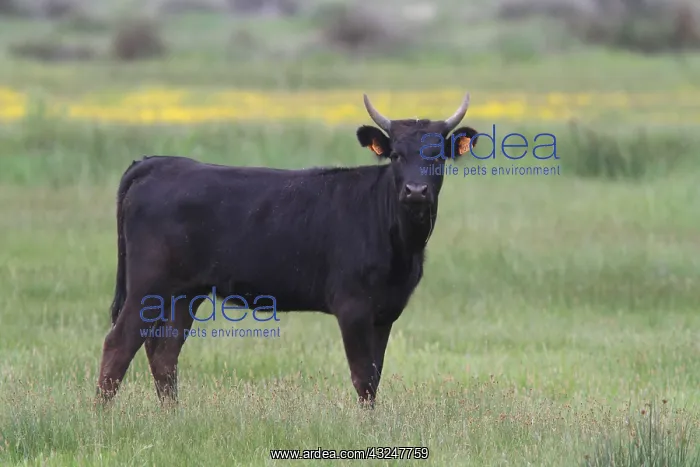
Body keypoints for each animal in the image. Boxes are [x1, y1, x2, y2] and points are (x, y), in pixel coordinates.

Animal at [95, 93, 479, 408]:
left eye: (437, 156)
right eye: (396, 155)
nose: (416, 191)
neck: (400, 244)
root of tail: (159, 162)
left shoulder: (386, 311)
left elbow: (376, 373)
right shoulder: (352, 306)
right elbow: (363, 377)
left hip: (184, 293)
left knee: (163, 352)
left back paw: (173, 418)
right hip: (148, 285)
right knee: (119, 344)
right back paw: (101, 418)